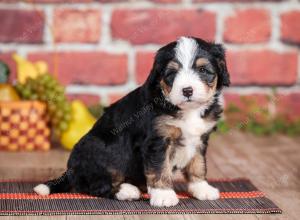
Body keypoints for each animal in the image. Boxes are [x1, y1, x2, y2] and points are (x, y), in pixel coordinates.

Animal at [33, 36, 230, 206]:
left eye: (203, 70)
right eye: (172, 73)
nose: (187, 90)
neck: (186, 110)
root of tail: (70, 170)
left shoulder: (200, 138)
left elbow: (198, 164)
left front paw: (202, 188)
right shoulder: (157, 141)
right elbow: (160, 168)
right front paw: (164, 195)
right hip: (103, 149)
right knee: (96, 185)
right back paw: (127, 190)